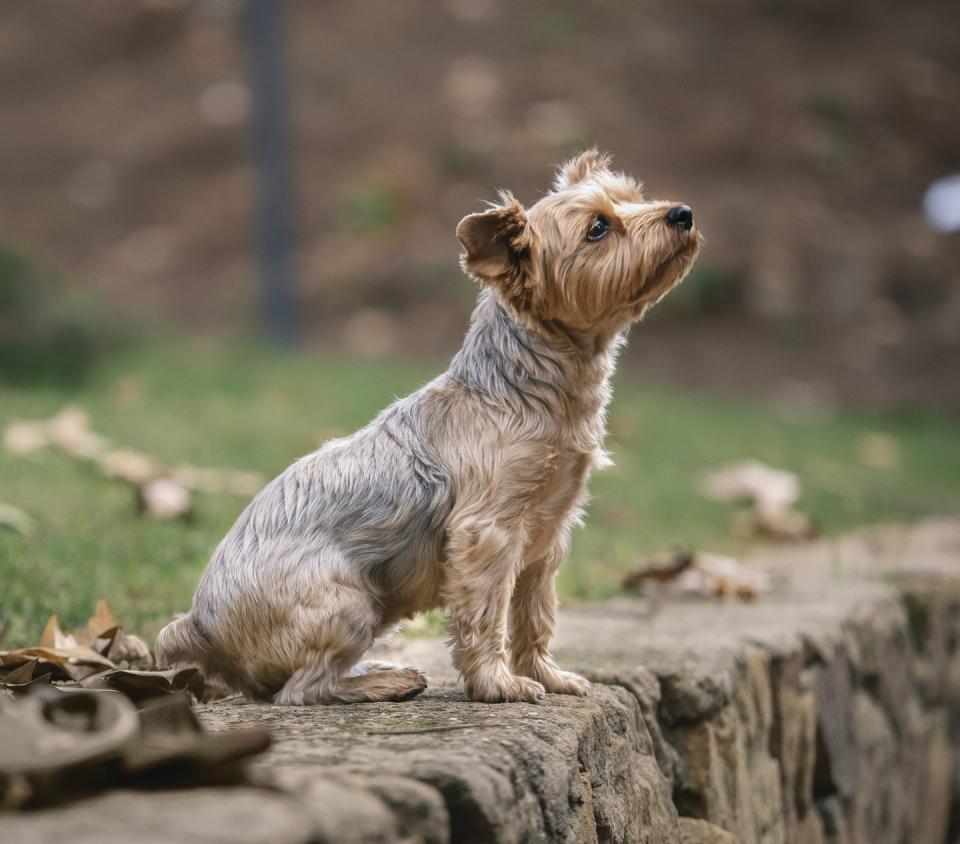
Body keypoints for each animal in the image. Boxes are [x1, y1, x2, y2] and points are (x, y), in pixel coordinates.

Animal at [156, 152, 696, 704]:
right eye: (598, 228)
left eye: (632, 198)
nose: (683, 213)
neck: (521, 389)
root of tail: (199, 625)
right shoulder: (488, 535)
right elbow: (485, 616)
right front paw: (497, 683)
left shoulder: (545, 540)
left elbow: (536, 615)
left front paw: (547, 675)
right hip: (348, 603)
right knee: (303, 689)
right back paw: (381, 681)